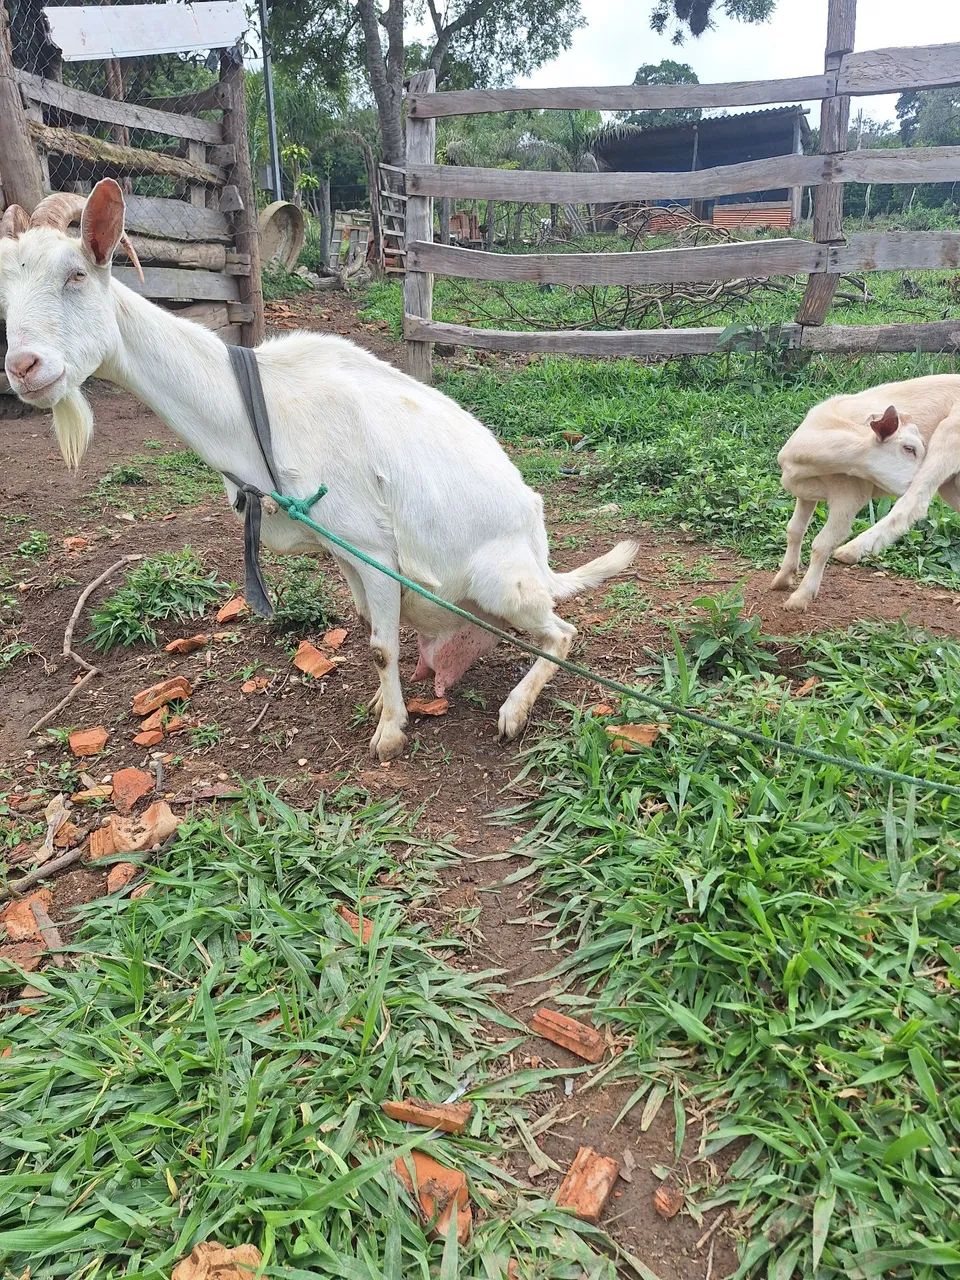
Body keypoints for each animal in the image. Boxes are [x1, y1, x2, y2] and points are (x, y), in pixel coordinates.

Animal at [0, 180, 638, 760]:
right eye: (7, 292)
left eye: (76, 274)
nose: (23, 367)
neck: (257, 406)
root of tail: (542, 555)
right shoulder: (343, 551)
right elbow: (369, 627)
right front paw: (384, 707)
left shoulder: (374, 549)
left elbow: (381, 646)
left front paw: (389, 735)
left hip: (500, 578)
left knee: (561, 634)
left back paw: (514, 709)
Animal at [773, 374, 960, 610]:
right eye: (909, 448)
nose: (914, 477)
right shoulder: (806, 494)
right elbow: (794, 530)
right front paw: (783, 577)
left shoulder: (849, 497)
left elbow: (822, 544)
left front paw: (801, 597)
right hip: (953, 484)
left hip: (949, 437)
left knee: (914, 502)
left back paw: (852, 550)